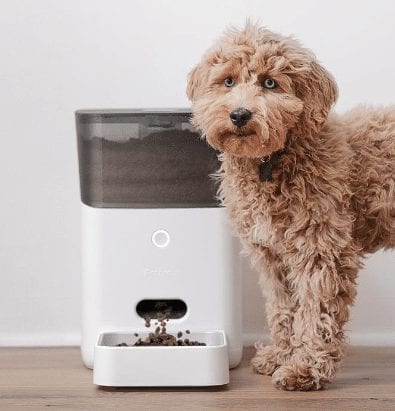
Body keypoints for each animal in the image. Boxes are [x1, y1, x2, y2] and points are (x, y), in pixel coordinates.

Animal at [187, 23, 394, 392]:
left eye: (270, 83)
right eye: (228, 81)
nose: (239, 115)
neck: (269, 162)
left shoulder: (322, 250)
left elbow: (316, 310)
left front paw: (305, 369)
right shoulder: (272, 256)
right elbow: (283, 308)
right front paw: (280, 355)